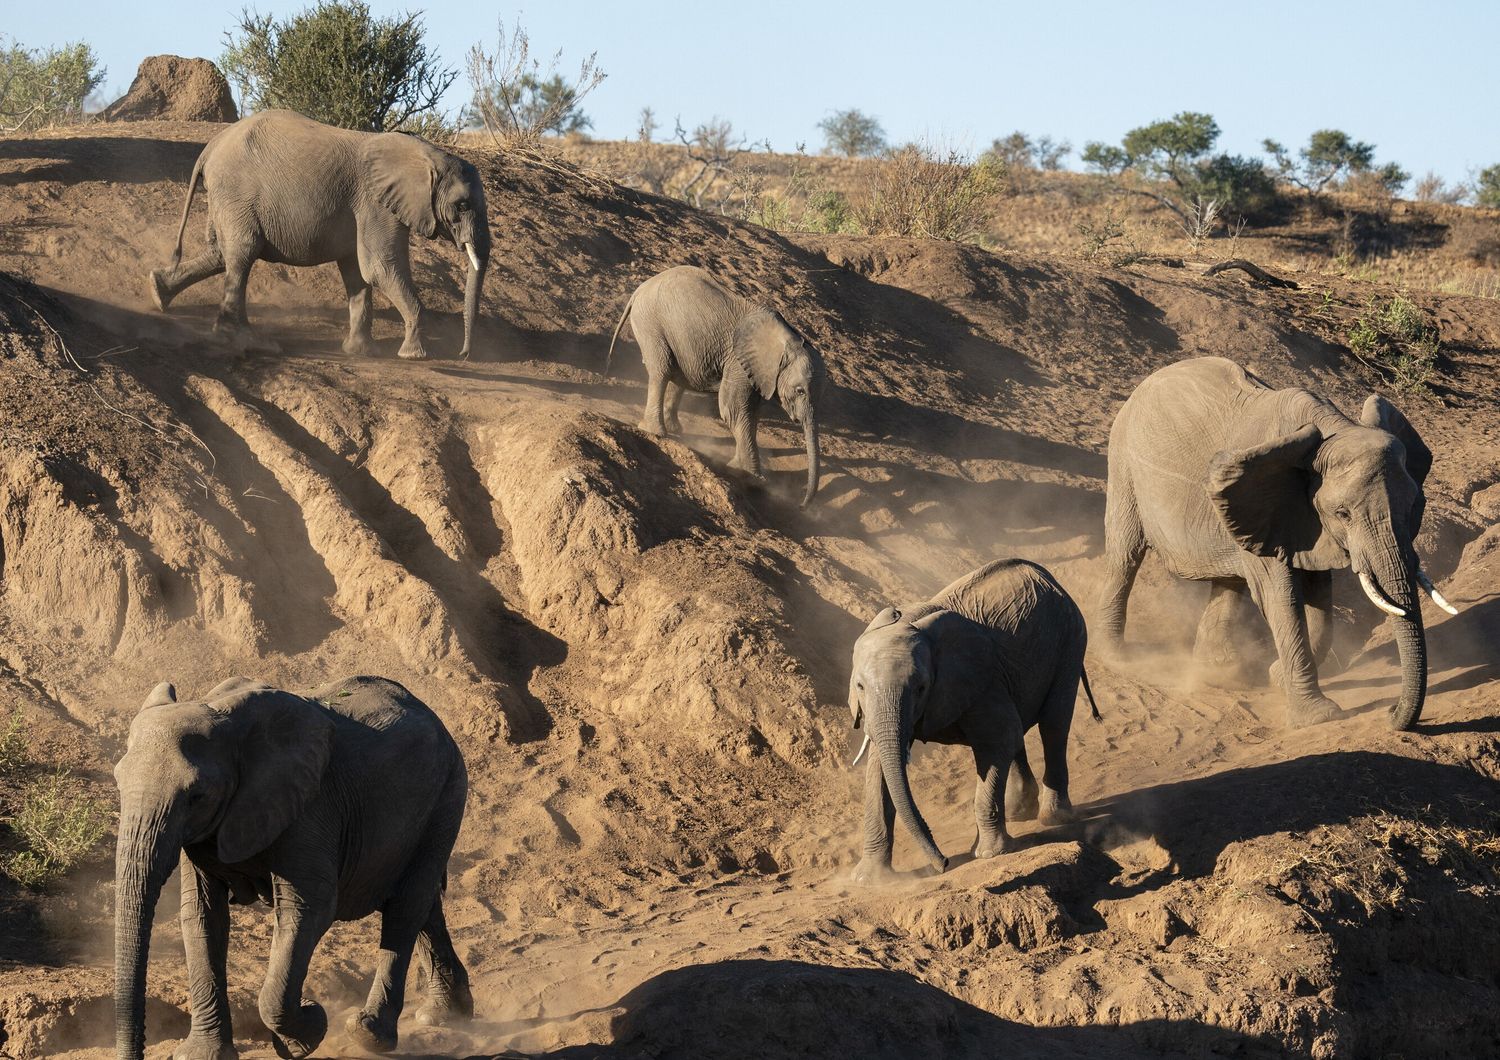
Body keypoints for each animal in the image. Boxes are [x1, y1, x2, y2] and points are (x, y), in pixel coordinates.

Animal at [114, 674, 468, 1055]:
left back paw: (371, 1033)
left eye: (197, 796)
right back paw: (446, 1014)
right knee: (422, 901)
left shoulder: (311, 806)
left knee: (406, 906)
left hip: (447, 796)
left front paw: (306, 1033)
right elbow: (202, 914)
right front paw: (203, 1055)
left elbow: (308, 907)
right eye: (118, 782)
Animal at [146, 110, 489, 361]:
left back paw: (158, 291)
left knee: (223, 254)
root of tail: (210, 148)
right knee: (242, 254)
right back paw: (248, 344)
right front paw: (414, 356)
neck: (425, 153)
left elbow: (357, 272)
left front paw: (361, 353)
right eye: (462, 205)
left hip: (228, 199)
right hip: (236, 192)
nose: (463, 354)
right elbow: (379, 268)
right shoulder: (375, 203)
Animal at [603, 269, 828, 509]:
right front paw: (751, 476)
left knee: (676, 373)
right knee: (661, 370)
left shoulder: (755, 372)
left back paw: (675, 429)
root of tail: (640, 289)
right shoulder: (739, 362)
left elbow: (749, 413)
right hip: (651, 324)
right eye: (800, 391)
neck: (788, 340)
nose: (801, 505)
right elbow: (734, 409)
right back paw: (654, 431)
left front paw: (741, 468)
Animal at [846, 560, 1104, 881]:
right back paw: (1019, 813)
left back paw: (1053, 817)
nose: (943, 863)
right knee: (1019, 732)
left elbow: (999, 739)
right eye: (860, 686)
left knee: (1053, 725)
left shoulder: (979, 680)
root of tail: (1048, 577)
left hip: (1070, 640)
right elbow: (879, 766)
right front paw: (869, 879)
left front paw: (989, 854)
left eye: (921, 687)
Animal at [1098, 356, 1458, 728]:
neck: (1332, 429)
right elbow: (1280, 596)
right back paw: (1117, 658)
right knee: (1125, 555)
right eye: (1343, 513)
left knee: (1230, 580)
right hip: (1123, 462)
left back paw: (1221, 673)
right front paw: (1319, 717)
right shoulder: (1276, 502)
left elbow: (1319, 596)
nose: (1389, 712)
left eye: (1413, 504)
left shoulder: (1301, 516)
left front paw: (1276, 679)